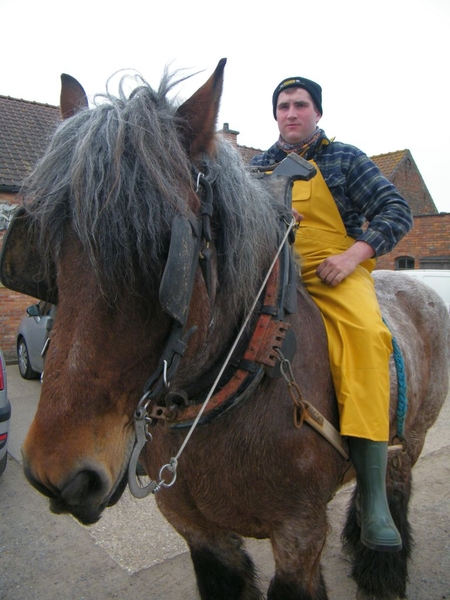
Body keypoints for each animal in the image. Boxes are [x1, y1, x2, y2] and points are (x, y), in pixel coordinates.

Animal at [10, 61, 450, 600]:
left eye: (163, 251)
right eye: (47, 246)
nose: (59, 474)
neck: (240, 380)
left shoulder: (300, 533)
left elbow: (394, 208)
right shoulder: (197, 530)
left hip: (412, 440)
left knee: (394, 484)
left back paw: (380, 554)